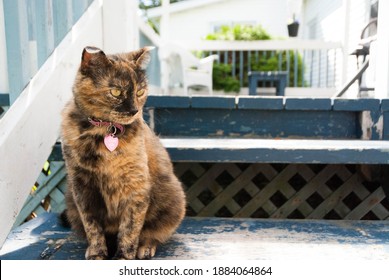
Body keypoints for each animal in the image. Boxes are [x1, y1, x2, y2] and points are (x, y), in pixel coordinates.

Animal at [61, 46, 186, 260]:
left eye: (140, 91)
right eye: (116, 92)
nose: (134, 110)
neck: (103, 133)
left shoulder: (135, 186)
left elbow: (130, 228)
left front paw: (123, 256)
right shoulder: (82, 187)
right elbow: (92, 225)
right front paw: (97, 253)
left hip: (174, 199)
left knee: (153, 233)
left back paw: (145, 248)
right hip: (70, 202)